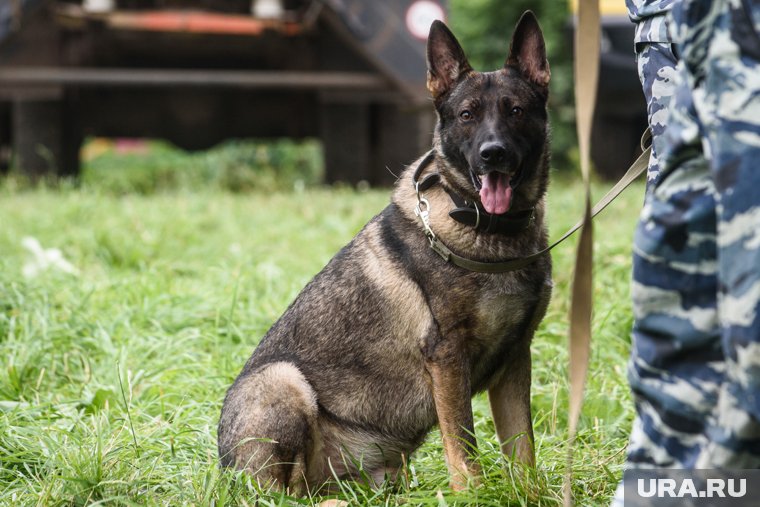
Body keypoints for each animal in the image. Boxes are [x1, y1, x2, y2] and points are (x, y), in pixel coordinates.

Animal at [220, 11, 552, 494]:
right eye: (467, 115)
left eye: (516, 111)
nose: (494, 155)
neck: (489, 230)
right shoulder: (447, 358)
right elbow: (463, 444)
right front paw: (473, 494)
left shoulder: (515, 360)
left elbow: (522, 449)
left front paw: (530, 494)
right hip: (282, 380)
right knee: (286, 495)